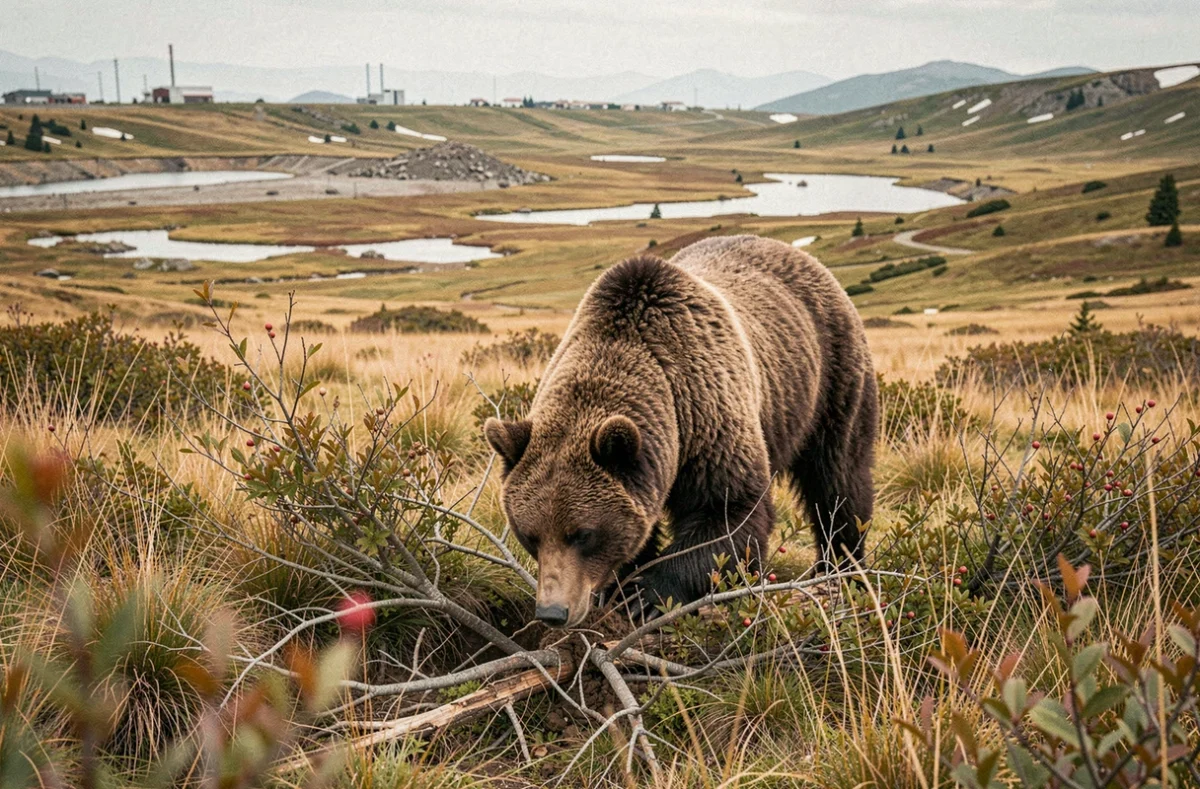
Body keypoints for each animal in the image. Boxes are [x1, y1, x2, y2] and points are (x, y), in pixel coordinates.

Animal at [485, 235, 877, 628]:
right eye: (530, 535)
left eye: (583, 534)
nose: (552, 611)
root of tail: (795, 252)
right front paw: (619, 586)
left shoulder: (710, 421)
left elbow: (729, 513)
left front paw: (643, 595)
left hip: (831, 378)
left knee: (838, 479)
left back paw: (841, 567)